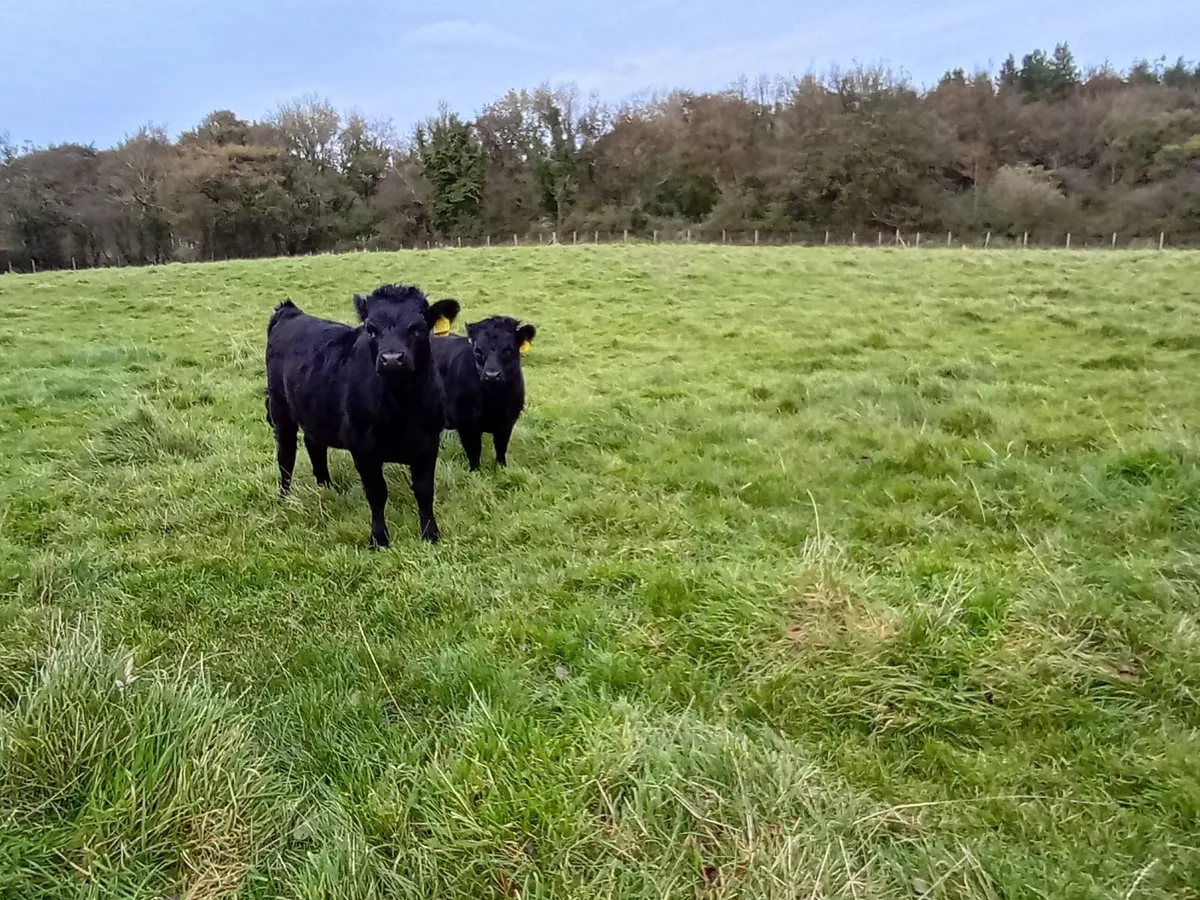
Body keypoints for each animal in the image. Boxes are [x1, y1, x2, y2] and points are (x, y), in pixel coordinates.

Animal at [264, 284, 460, 549]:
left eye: (418, 327)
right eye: (371, 329)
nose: (391, 359)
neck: (401, 408)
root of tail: (290, 312)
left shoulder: (428, 443)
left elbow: (424, 491)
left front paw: (431, 535)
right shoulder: (363, 449)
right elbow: (377, 493)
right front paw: (379, 539)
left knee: (314, 445)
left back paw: (327, 488)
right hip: (280, 409)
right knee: (286, 455)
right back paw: (285, 499)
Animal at [430, 314, 537, 471]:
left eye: (508, 349)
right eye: (478, 350)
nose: (492, 375)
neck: (494, 400)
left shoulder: (507, 422)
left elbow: (501, 447)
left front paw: (501, 467)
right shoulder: (466, 424)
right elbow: (474, 451)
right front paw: (475, 471)